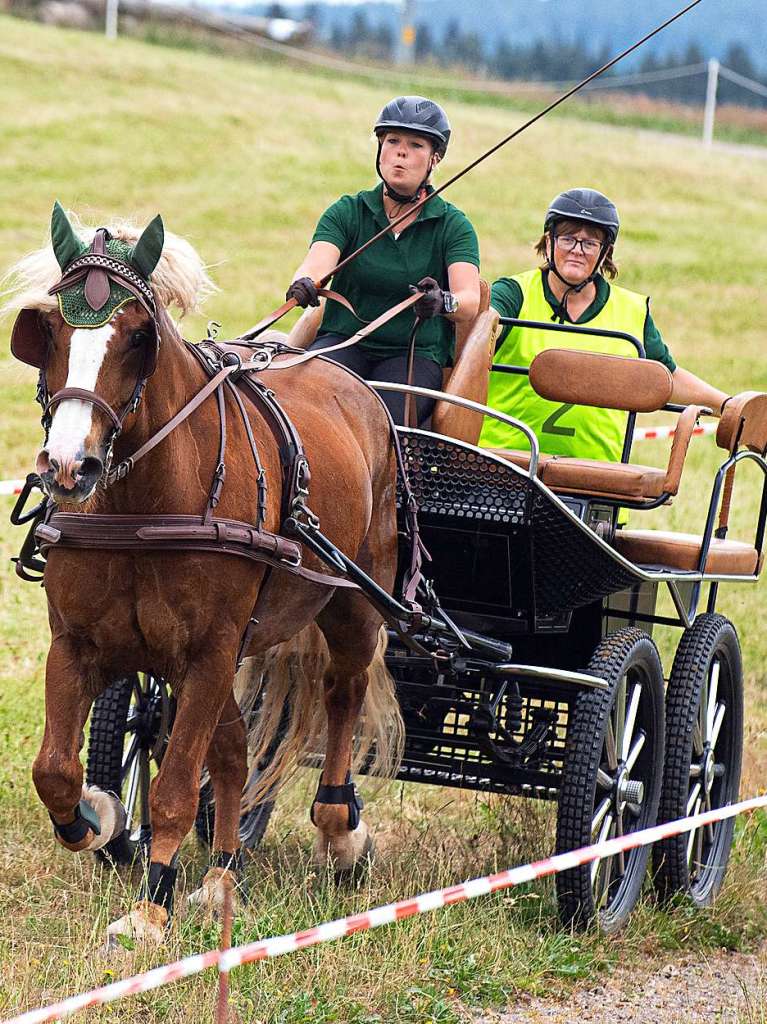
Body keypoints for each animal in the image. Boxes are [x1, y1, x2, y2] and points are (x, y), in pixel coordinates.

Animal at [5, 203, 403, 946]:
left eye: (138, 335)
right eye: (51, 330)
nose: (69, 467)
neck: (145, 508)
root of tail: (349, 380)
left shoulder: (208, 654)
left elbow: (174, 789)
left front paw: (150, 907)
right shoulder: (77, 645)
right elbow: (56, 771)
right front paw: (99, 817)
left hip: (350, 604)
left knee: (342, 691)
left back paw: (339, 832)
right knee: (237, 752)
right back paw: (222, 874)